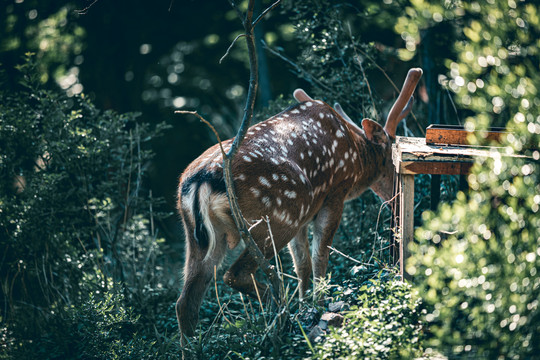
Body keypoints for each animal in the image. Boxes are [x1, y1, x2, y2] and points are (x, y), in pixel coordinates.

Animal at [176, 68, 422, 338]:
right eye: (391, 162)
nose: (396, 201)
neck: (356, 160)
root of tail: (201, 181)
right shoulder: (334, 193)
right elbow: (319, 256)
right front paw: (319, 304)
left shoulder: (304, 215)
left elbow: (302, 264)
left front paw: (307, 306)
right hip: (274, 218)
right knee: (234, 274)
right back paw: (280, 307)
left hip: (199, 234)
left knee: (185, 301)